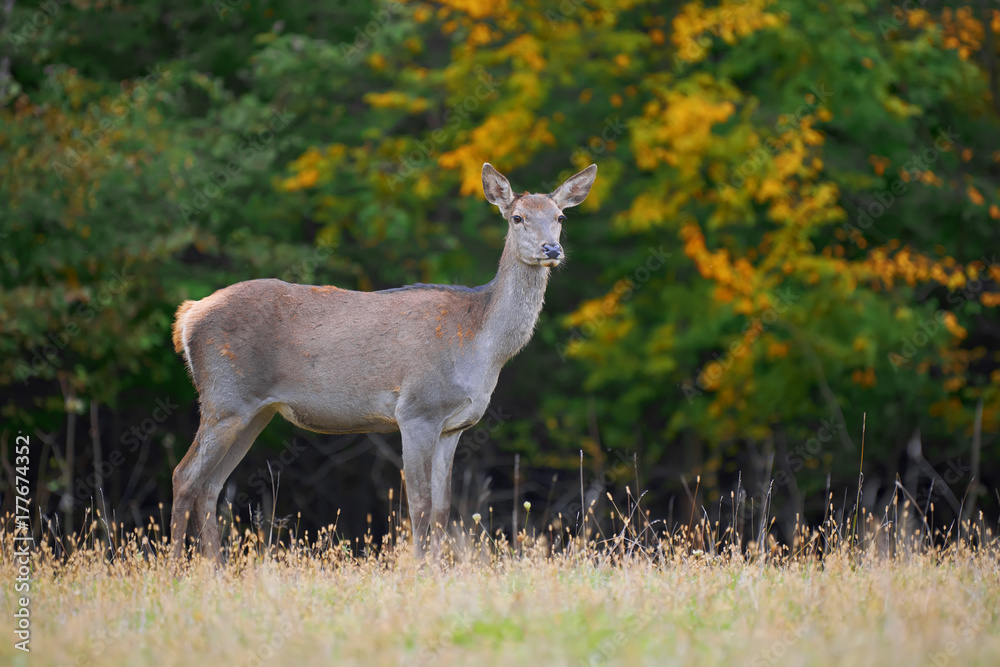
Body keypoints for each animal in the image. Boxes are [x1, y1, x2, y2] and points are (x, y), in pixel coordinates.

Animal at [168, 163, 596, 560]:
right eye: (517, 217)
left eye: (560, 217)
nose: (551, 250)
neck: (481, 348)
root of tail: (187, 317)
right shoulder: (417, 410)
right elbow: (419, 505)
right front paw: (418, 570)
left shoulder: (453, 426)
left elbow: (442, 508)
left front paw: (438, 570)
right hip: (225, 398)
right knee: (184, 476)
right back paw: (175, 568)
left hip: (255, 411)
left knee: (210, 485)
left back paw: (216, 568)